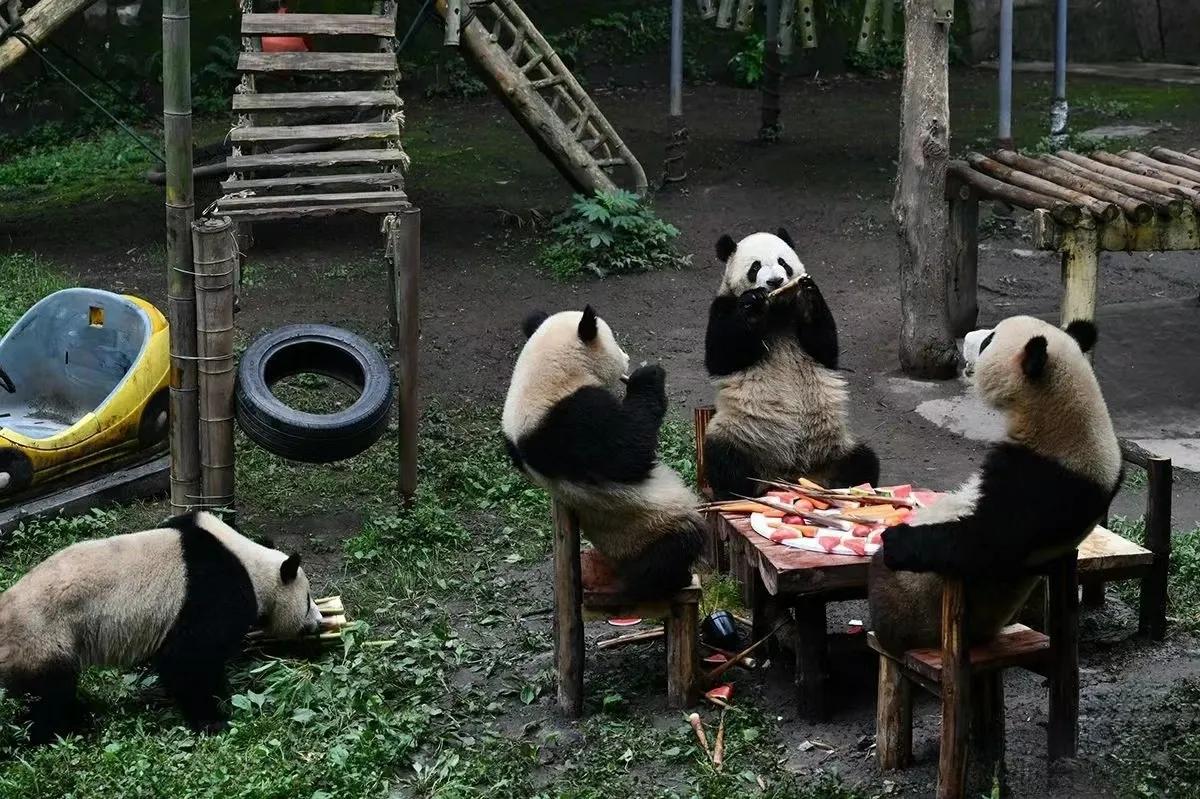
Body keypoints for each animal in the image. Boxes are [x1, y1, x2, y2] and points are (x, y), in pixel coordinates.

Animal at [0, 511, 324, 739]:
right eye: (308, 600)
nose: (319, 623)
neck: (247, 561)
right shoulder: (214, 589)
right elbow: (188, 657)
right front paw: (213, 718)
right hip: (43, 637)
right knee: (52, 695)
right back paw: (65, 728)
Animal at [504, 304, 705, 597]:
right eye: (615, 342)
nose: (627, 356)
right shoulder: (571, 420)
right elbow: (629, 452)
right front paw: (647, 375)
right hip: (649, 527)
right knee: (674, 549)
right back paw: (673, 579)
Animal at [700, 225, 883, 499]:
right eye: (755, 267)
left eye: (782, 262)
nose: (775, 281)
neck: (777, 308)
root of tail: (787, 476)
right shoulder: (723, 305)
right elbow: (721, 356)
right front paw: (752, 305)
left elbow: (825, 349)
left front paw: (808, 294)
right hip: (743, 434)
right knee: (725, 460)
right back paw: (739, 494)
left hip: (832, 447)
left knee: (863, 460)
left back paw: (842, 487)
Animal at [868, 314, 1118, 652]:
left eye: (988, 342)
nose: (969, 339)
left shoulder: (1045, 485)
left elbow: (984, 541)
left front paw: (896, 538)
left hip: (911, 600)